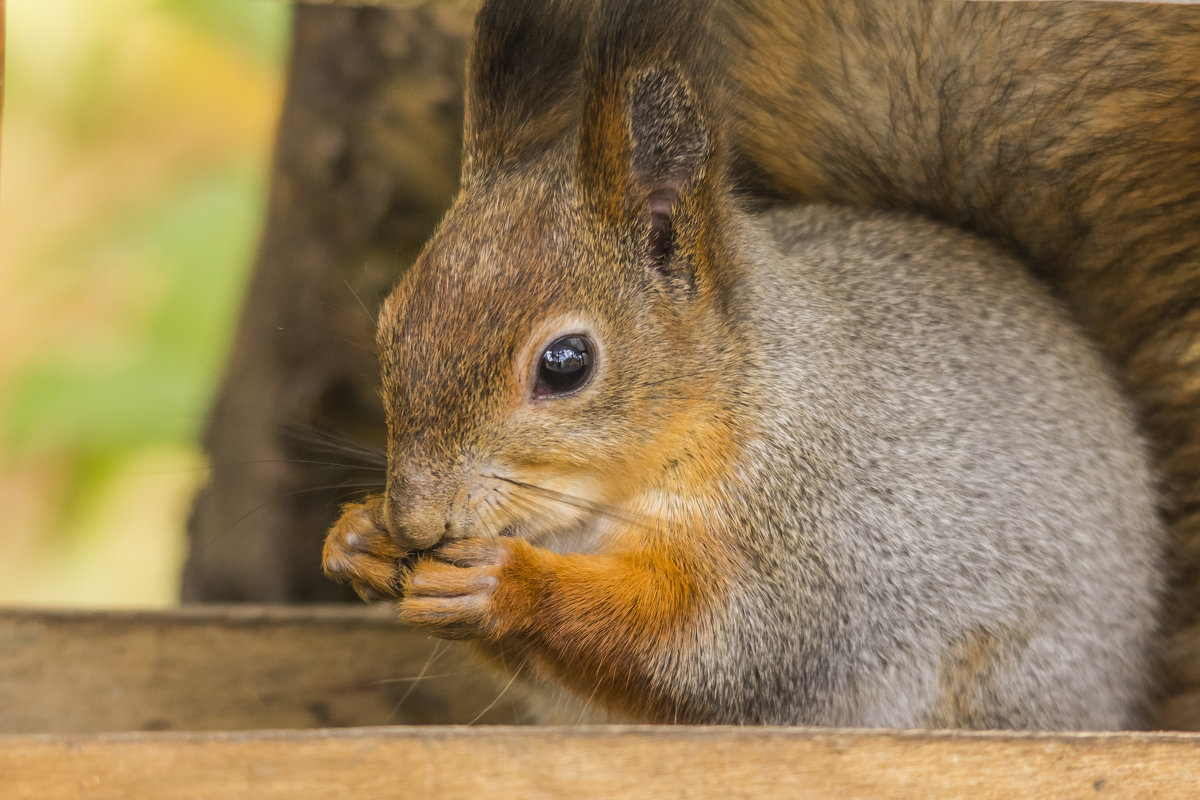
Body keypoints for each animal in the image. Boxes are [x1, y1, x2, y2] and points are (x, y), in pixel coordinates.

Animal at [319, 0, 1171, 729]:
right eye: (391, 322)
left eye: (565, 363)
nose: (415, 518)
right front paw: (357, 539)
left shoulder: (813, 529)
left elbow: (714, 647)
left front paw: (506, 583)